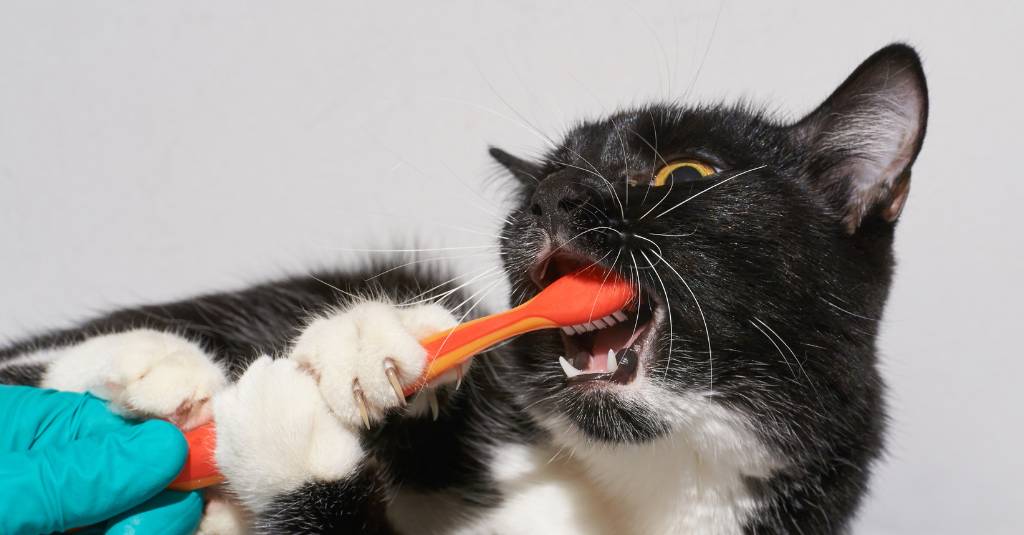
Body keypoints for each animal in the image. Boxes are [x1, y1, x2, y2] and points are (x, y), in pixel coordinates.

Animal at [0, 43, 929, 528]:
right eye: (538, 184)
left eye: (686, 171)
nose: (555, 195)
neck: (645, 479)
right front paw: (373, 342)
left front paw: (294, 434)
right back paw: (155, 372)